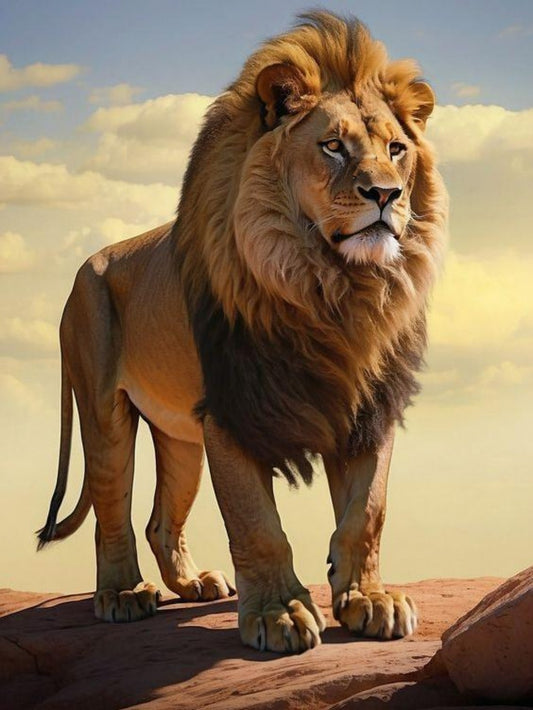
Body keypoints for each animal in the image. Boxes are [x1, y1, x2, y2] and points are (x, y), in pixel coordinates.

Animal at [38, 11, 447, 653]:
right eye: (333, 146)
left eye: (396, 149)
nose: (385, 194)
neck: (335, 289)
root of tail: (86, 265)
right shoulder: (234, 410)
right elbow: (257, 523)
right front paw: (280, 614)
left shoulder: (369, 405)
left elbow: (367, 512)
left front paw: (369, 599)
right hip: (104, 411)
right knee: (112, 510)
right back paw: (123, 595)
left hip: (180, 436)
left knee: (161, 519)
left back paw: (194, 584)